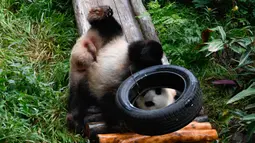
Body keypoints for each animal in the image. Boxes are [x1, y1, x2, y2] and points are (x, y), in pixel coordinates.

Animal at [66, 5, 171, 133]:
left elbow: (112, 102)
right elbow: (140, 50)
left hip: (81, 78)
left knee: (79, 97)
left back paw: (76, 119)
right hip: (109, 39)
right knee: (110, 27)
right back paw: (99, 13)